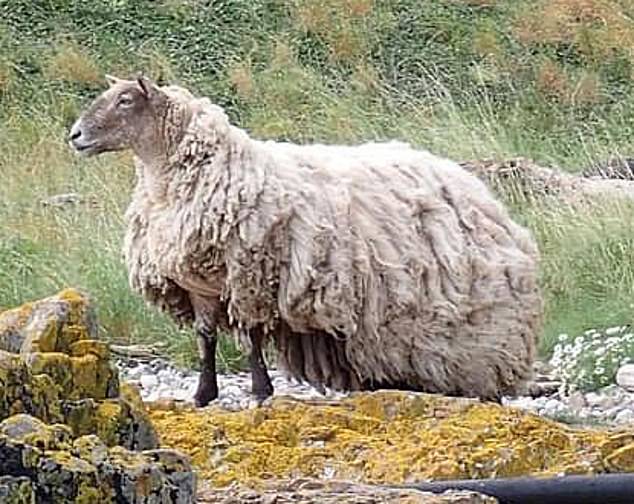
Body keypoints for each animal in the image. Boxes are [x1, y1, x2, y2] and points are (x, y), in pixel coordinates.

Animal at [68, 74, 544, 406]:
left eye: (125, 100)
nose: (75, 135)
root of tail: (483, 196)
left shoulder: (249, 275)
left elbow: (251, 337)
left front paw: (261, 391)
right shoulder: (197, 284)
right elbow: (205, 339)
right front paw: (203, 395)